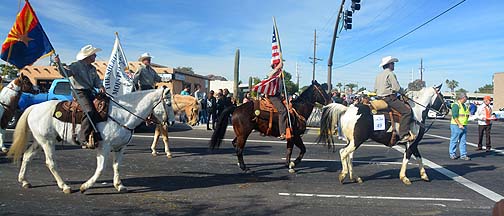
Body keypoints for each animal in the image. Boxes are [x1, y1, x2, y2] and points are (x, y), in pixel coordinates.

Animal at [7, 88, 171, 194]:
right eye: (168, 103)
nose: (171, 122)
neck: (122, 115)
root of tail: (34, 107)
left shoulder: (120, 147)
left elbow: (117, 166)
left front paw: (119, 185)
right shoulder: (104, 147)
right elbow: (101, 168)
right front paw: (85, 186)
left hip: (39, 140)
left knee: (27, 156)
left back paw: (24, 181)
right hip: (47, 142)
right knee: (50, 163)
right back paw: (64, 186)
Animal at [316, 85, 446, 185]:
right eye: (442, 97)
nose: (446, 109)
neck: (416, 112)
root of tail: (347, 109)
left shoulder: (413, 143)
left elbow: (419, 157)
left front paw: (424, 175)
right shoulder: (411, 142)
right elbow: (407, 158)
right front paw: (404, 177)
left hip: (352, 141)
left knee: (350, 156)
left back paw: (355, 177)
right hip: (356, 141)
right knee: (343, 152)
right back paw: (343, 175)